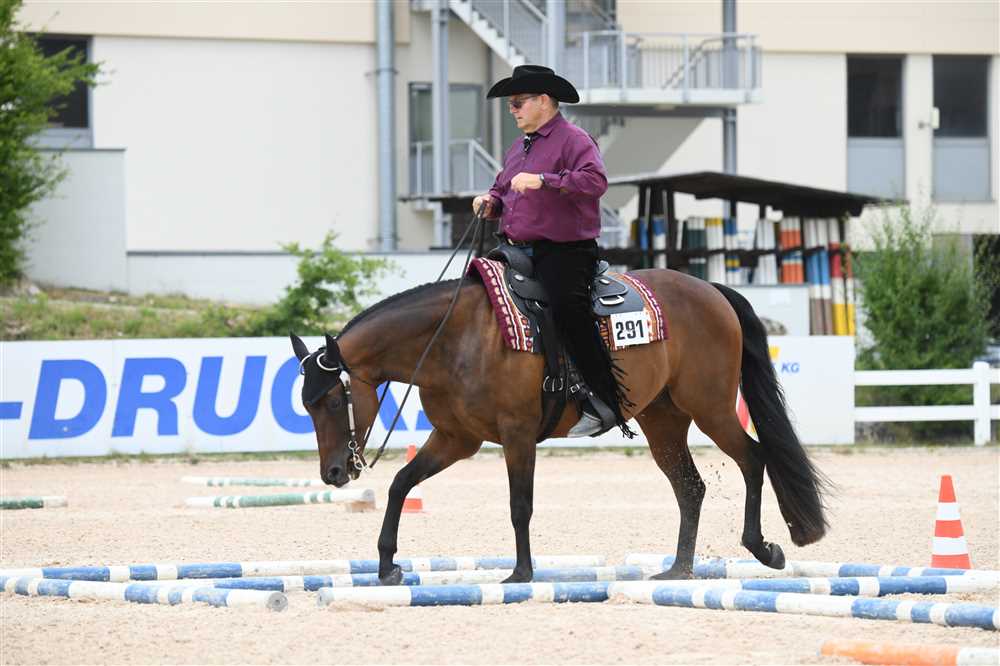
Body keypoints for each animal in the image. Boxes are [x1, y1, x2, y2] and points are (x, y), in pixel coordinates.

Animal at [290, 267, 828, 585]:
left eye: (332, 400)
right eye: (306, 405)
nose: (332, 473)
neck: (455, 339)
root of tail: (709, 288)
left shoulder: (517, 434)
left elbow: (520, 505)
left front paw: (521, 573)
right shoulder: (456, 439)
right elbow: (402, 483)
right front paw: (387, 564)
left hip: (710, 407)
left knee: (754, 458)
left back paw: (763, 549)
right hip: (662, 419)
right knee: (690, 487)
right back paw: (678, 568)